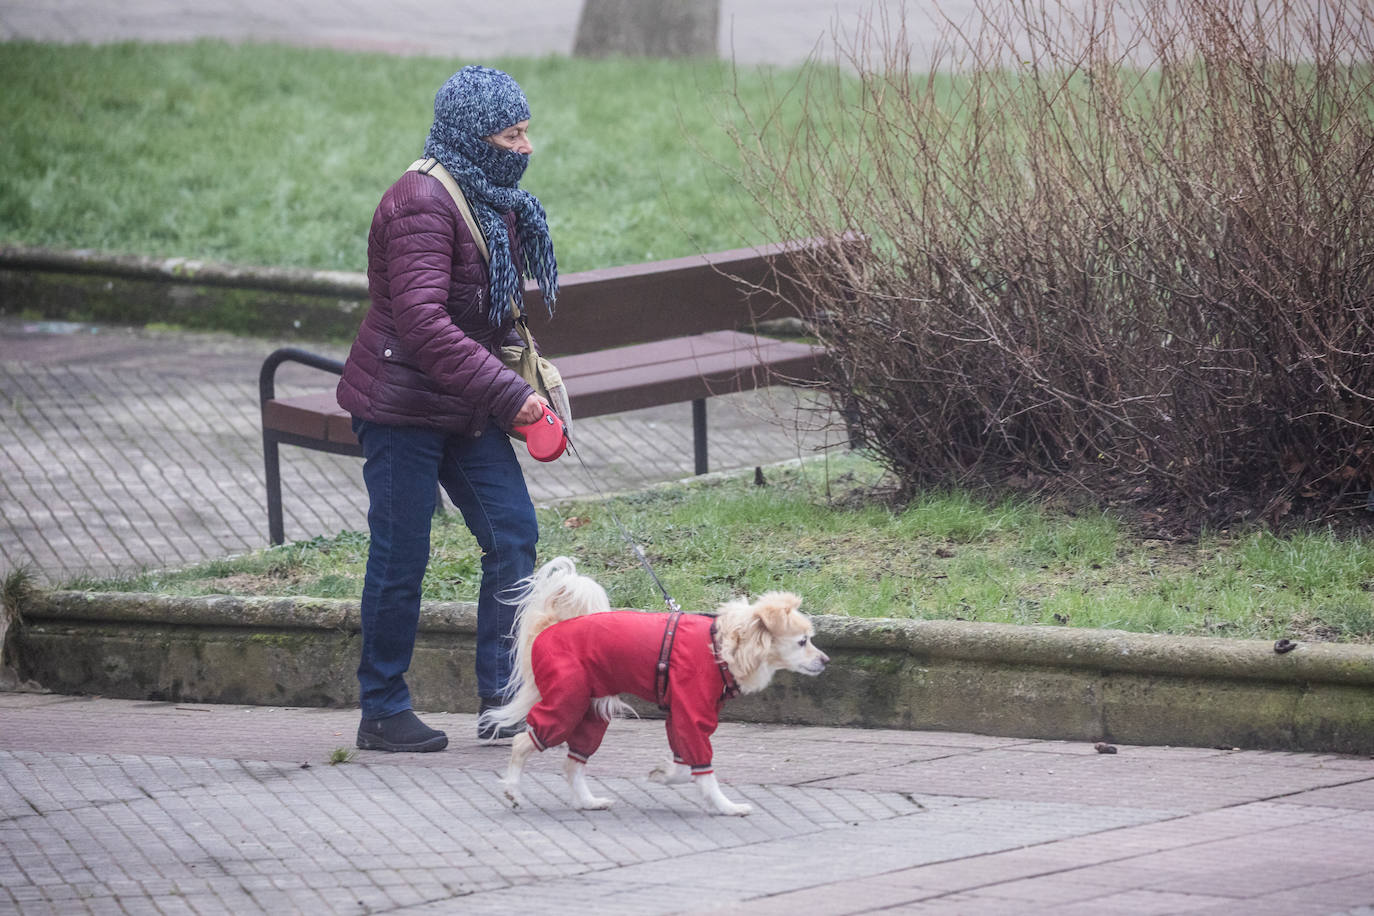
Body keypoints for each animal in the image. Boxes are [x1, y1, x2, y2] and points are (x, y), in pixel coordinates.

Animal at [483, 560, 824, 818]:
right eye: (802, 642)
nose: (826, 660)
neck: (722, 646)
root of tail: (550, 629)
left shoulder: (682, 715)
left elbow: (684, 763)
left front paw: (663, 773)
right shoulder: (691, 711)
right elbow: (701, 767)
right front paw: (725, 806)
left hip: (591, 710)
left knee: (573, 762)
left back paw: (588, 802)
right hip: (566, 703)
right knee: (523, 742)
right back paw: (512, 790)